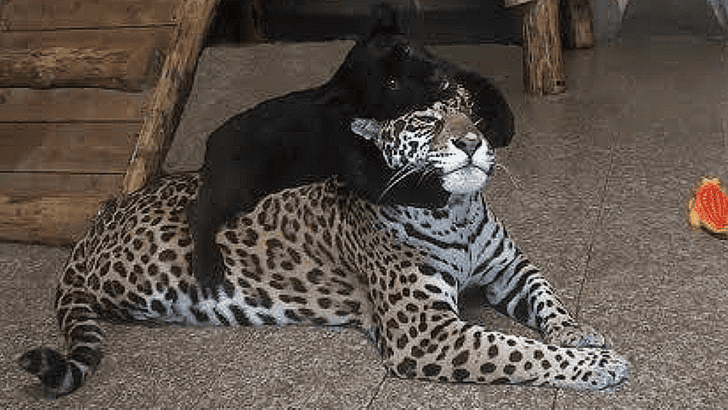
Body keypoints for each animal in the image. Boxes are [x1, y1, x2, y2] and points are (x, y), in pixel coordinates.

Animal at [18, 85, 630, 397]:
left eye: (473, 117)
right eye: (426, 121)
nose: (471, 142)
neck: (454, 212)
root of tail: (97, 218)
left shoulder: (508, 267)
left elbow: (545, 296)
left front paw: (578, 332)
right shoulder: (425, 333)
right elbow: (517, 350)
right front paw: (597, 367)